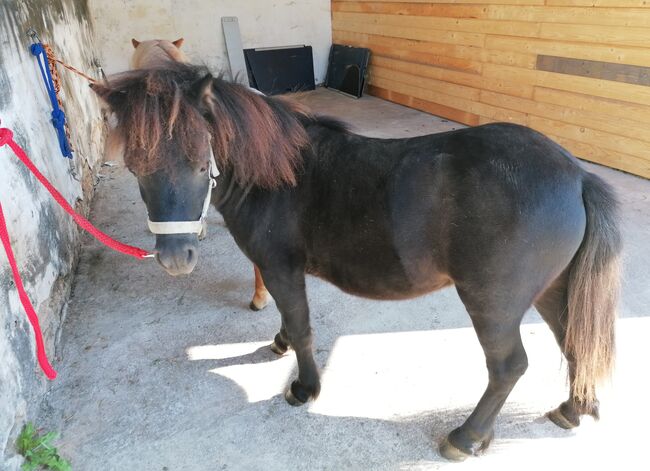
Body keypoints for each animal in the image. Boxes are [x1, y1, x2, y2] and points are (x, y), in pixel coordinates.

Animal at [91, 63, 616, 460]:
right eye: (135, 166)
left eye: (203, 162)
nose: (175, 258)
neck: (276, 176)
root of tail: (577, 176)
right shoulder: (284, 273)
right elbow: (289, 320)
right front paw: (279, 342)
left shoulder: (280, 268)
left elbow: (303, 327)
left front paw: (304, 389)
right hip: (552, 289)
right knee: (576, 342)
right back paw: (573, 409)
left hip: (494, 303)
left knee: (509, 366)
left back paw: (467, 438)